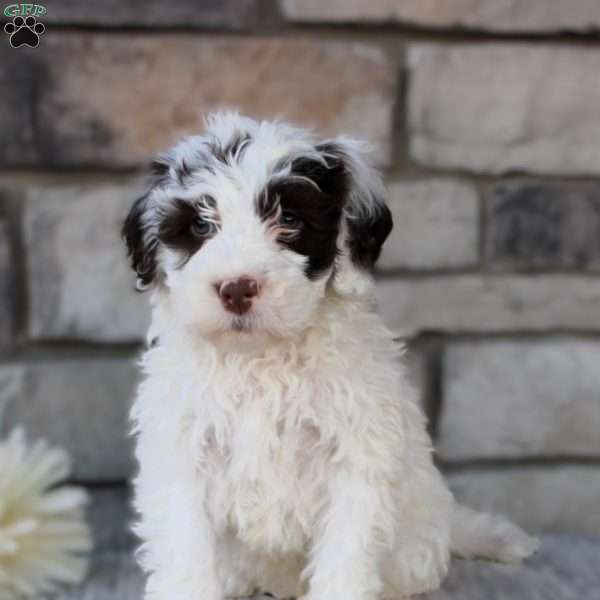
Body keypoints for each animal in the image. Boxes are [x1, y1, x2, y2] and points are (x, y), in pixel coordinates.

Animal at [123, 113, 540, 600]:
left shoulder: (356, 457)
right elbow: (185, 548)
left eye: (288, 220)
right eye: (202, 226)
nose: (237, 288)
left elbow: (348, 555)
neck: (262, 357)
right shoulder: (181, 452)